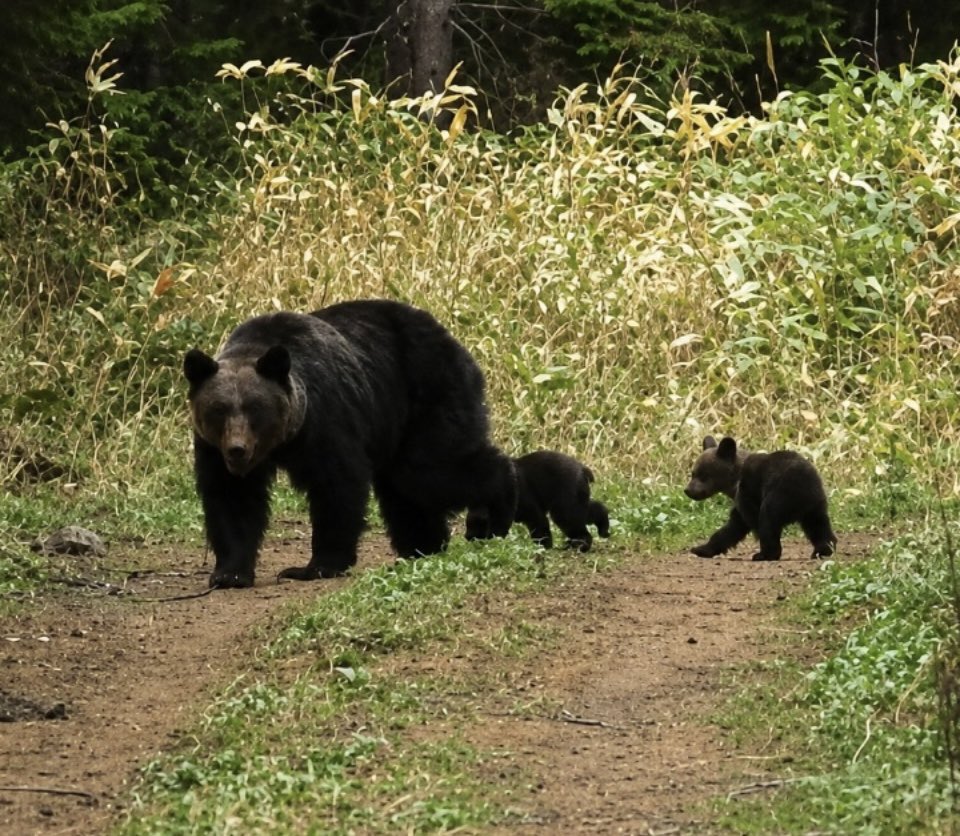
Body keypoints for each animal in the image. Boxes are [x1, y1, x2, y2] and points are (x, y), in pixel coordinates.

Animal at [183, 299, 518, 588]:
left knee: (430, 469)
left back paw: (495, 508)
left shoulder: (327, 419)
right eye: (218, 409)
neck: (285, 440)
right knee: (404, 489)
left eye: (255, 408)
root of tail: (453, 341)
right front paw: (230, 573)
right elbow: (232, 499)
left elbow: (337, 485)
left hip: (426, 394)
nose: (237, 450)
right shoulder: (213, 449)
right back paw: (422, 547)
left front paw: (316, 565)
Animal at [465, 450, 611, 553]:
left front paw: (543, 546)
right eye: (468, 524)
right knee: (586, 511)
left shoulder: (522, 500)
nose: (467, 537)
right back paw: (602, 530)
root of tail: (583, 469)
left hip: (567, 492)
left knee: (570, 518)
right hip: (575, 495)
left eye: (476, 525)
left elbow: (537, 521)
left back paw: (580, 545)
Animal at [684, 435, 837, 562]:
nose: (688, 490)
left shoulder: (748, 491)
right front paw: (700, 549)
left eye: (703, 474)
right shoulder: (741, 500)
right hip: (815, 504)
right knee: (818, 525)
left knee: (768, 519)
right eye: (693, 473)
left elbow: (750, 521)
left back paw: (765, 554)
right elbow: (733, 526)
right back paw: (823, 550)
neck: (734, 482)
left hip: (780, 494)